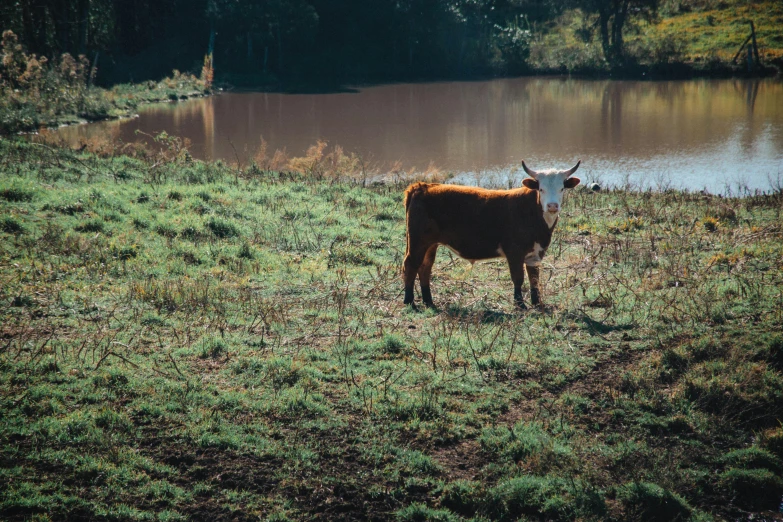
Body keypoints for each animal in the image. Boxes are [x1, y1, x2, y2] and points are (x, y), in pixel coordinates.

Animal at [404, 160, 580, 308]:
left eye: (561, 188)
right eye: (541, 189)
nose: (552, 206)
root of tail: (421, 186)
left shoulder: (536, 254)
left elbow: (534, 278)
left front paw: (536, 303)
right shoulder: (514, 252)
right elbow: (518, 278)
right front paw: (520, 305)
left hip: (430, 244)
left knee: (425, 267)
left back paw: (428, 301)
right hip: (418, 241)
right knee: (411, 264)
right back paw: (409, 301)